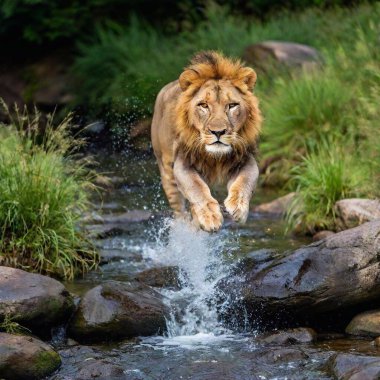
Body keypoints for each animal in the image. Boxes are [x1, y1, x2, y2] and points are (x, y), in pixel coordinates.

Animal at [151, 50, 262, 232]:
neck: (215, 158)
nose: (218, 132)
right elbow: (196, 187)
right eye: (203, 105)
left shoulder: (244, 158)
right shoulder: (183, 162)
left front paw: (238, 208)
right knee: (180, 210)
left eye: (232, 105)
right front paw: (210, 217)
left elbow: (246, 180)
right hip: (166, 170)